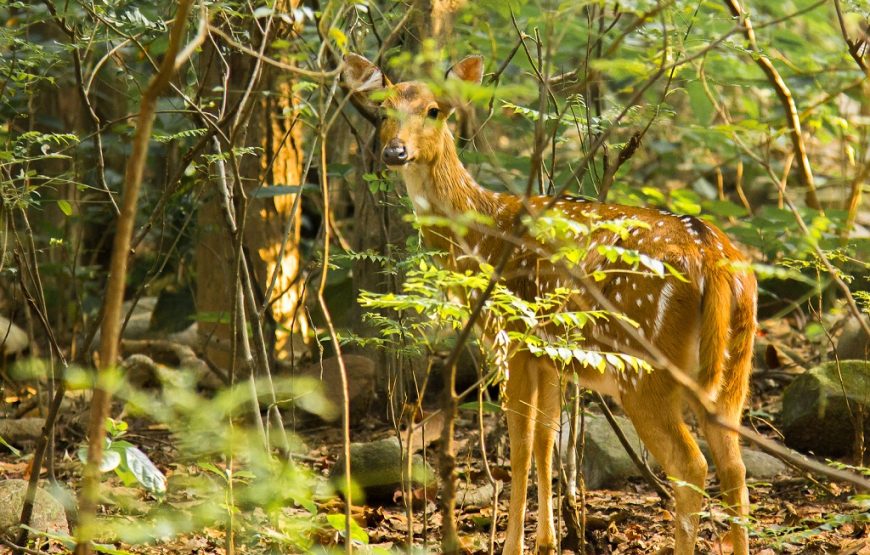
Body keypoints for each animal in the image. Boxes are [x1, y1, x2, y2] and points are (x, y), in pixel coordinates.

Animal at [344, 53, 760, 555]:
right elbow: (547, 438)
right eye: (384, 108)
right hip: (733, 368)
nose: (395, 152)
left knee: (692, 465)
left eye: (434, 110)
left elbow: (521, 446)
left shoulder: (513, 336)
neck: (481, 236)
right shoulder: (551, 354)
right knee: (735, 467)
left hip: (646, 368)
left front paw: (512, 545)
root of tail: (713, 257)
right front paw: (546, 540)